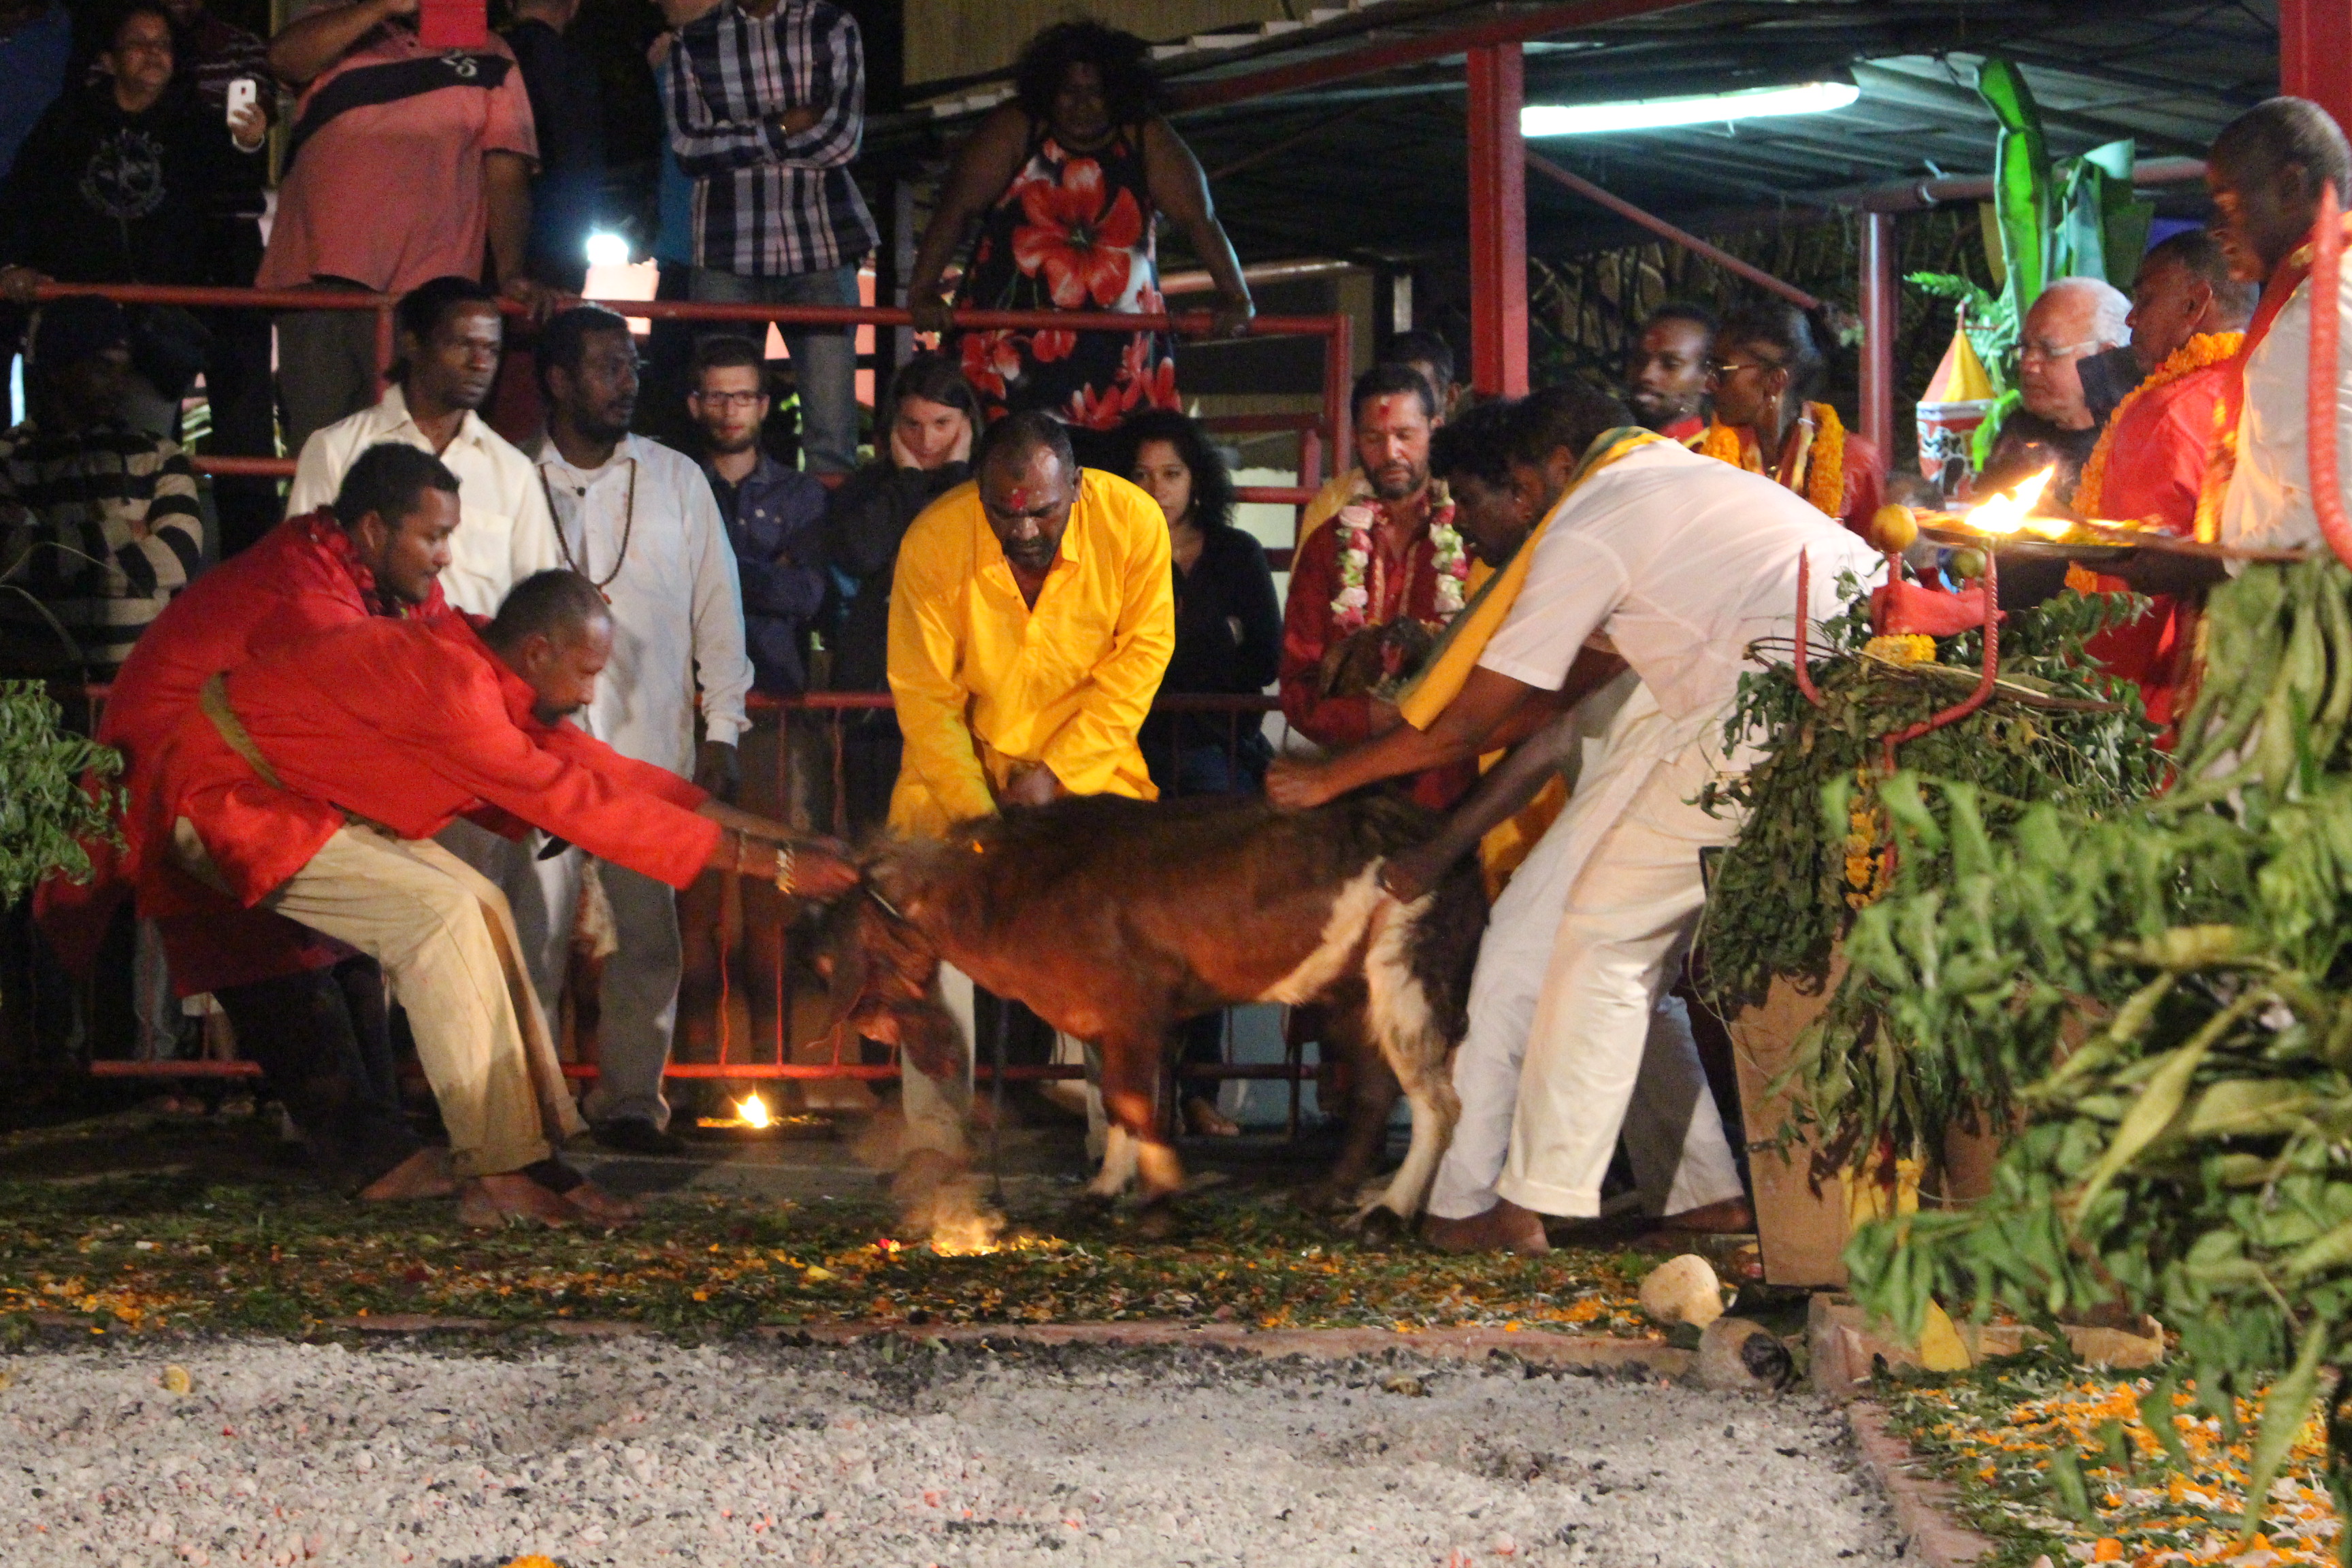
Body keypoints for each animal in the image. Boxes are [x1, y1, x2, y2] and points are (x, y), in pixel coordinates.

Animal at [828, 799, 1477, 1222]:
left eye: (861, 945)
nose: (859, 1018)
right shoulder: (1110, 1022)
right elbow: (1119, 1101)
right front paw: (1104, 1188)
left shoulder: (1135, 1012)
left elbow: (1135, 1099)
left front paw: (1161, 1184)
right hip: (1354, 989)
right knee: (1375, 1091)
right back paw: (1335, 1195)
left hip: (1408, 972)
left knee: (1439, 1104)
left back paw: (1390, 1212)